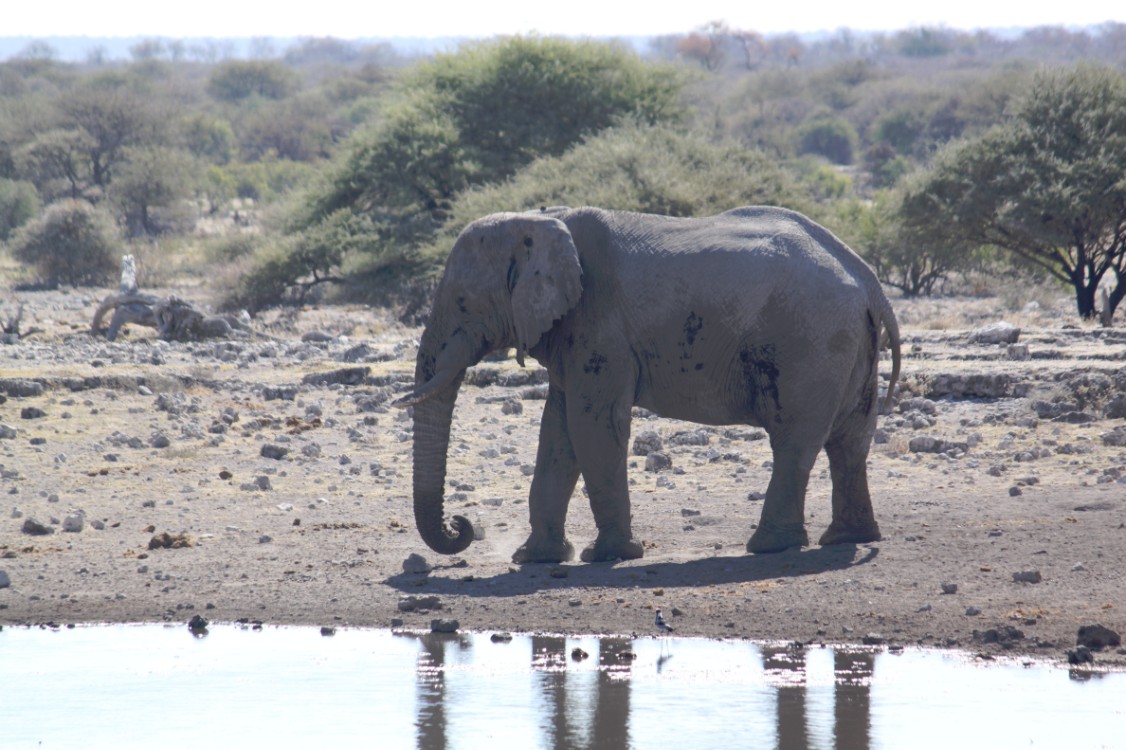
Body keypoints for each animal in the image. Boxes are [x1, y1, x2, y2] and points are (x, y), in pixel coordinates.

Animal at [391, 204, 900, 560]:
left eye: (462, 302)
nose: (462, 526)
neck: (541, 218)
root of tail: (868, 279)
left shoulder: (600, 326)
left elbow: (592, 426)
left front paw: (608, 557)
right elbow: (558, 432)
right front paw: (535, 559)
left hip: (811, 343)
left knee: (795, 439)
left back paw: (769, 546)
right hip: (849, 344)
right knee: (851, 441)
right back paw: (844, 538)